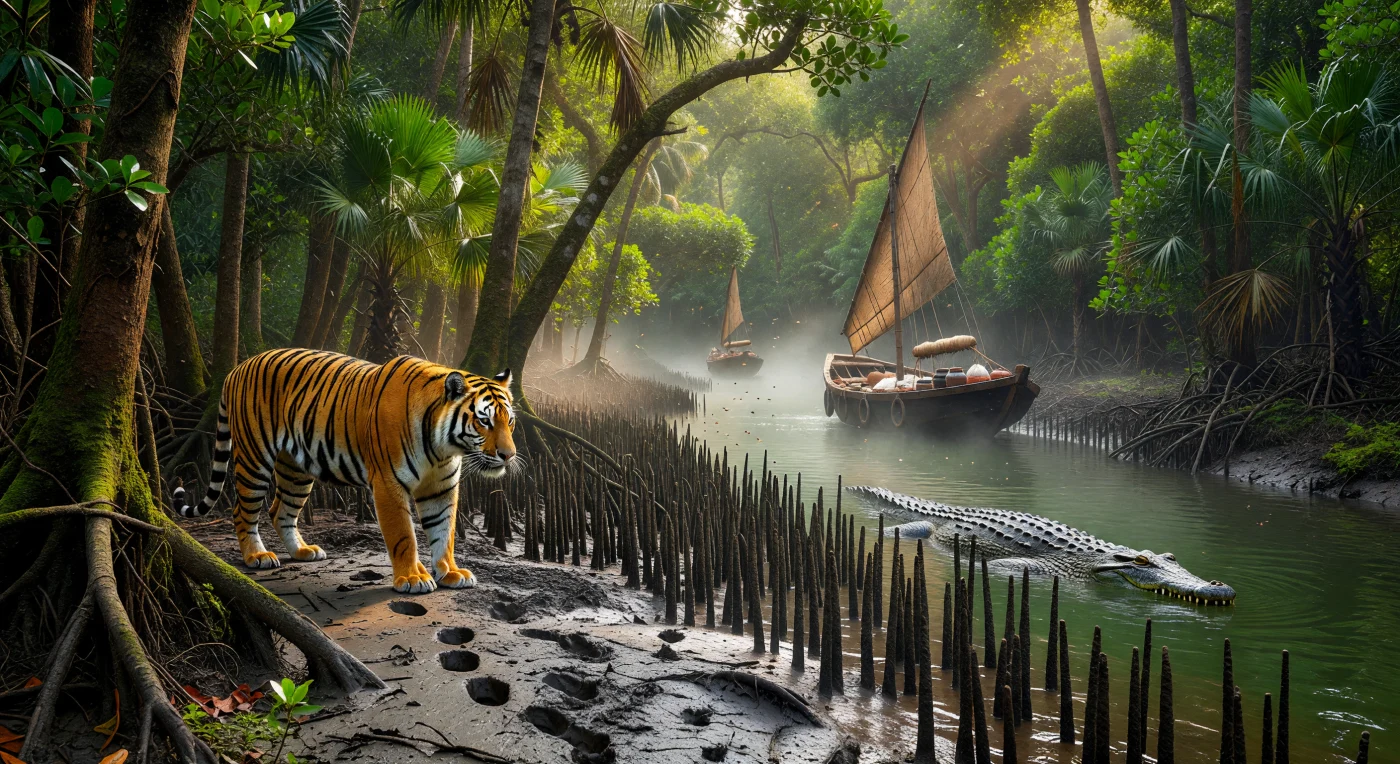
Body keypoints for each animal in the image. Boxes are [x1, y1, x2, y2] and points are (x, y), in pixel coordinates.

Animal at [174, 348, 517, 594]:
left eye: (509, 421)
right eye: (484, 421)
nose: (508, 455)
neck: (443, 448)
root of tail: (237, 368)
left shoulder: (442, 487)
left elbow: (444, 532)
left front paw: (450, 572)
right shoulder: (388, 484)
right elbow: (404, 535)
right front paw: (412, 579)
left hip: (296, 470)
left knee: (279, 510)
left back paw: (302, 551)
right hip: (254, 458)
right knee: (242, 510)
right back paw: (256, 557)